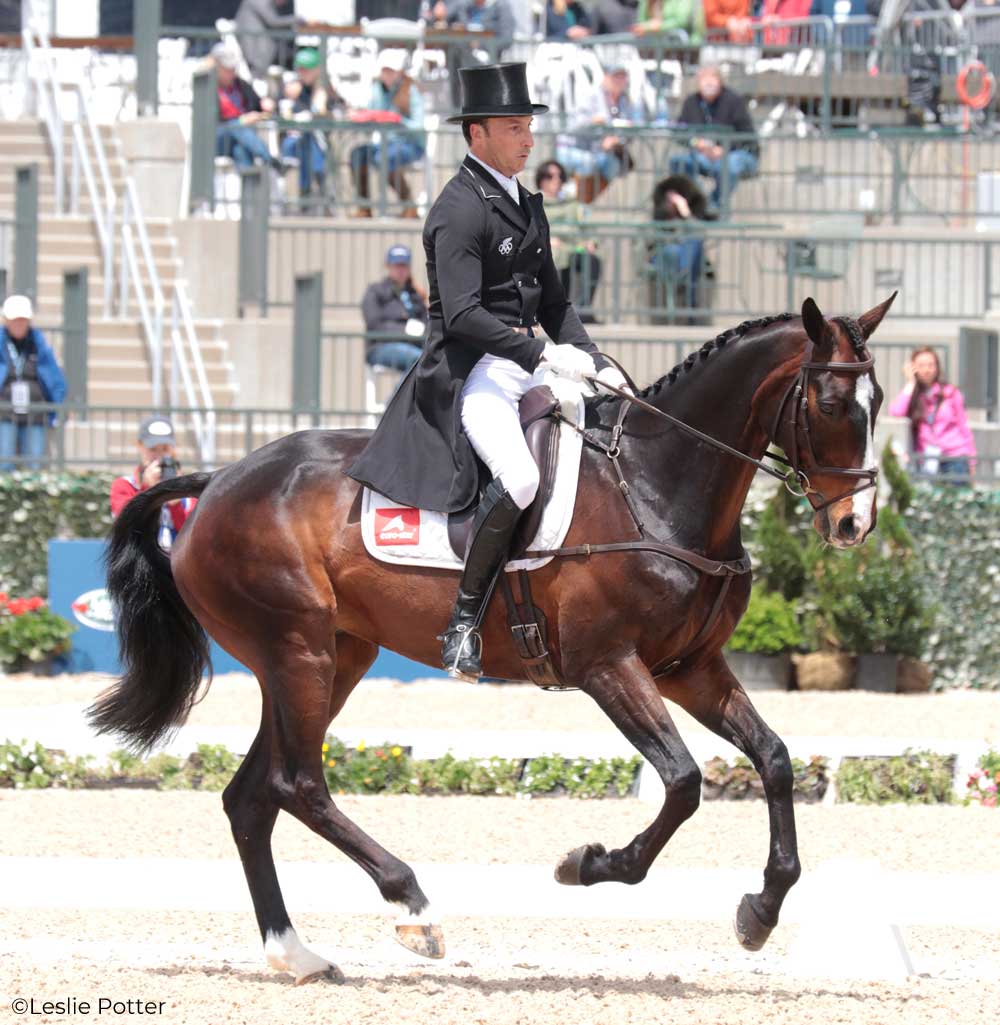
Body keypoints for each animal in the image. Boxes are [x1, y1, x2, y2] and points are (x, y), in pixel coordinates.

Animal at [91, 295, 889, 984]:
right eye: (828, 404)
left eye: (878, 402)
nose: (854, 524)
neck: (654, 487)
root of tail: (217, 482)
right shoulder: (608, 667)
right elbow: (685, 782)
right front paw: (588, 863)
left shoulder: (690, 666)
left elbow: (775, 760)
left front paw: (760, 910)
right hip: (297, 651)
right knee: (298, 784)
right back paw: (413, 905)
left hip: (336, 656)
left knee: (252, 797)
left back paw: (298, 954)